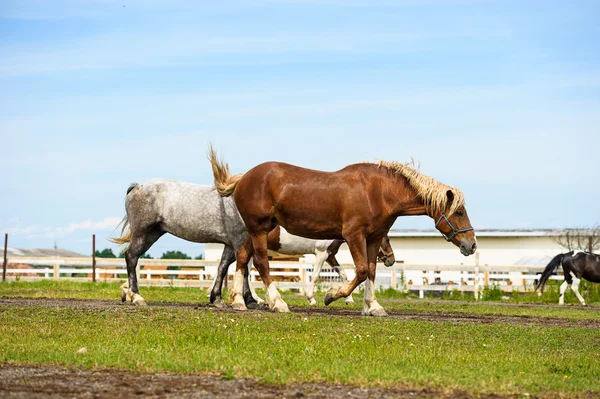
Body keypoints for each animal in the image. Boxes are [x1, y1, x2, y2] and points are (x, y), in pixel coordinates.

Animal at [209, 148, 476, 318]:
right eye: (459, 211)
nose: (471, 245)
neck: (378, 192)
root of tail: (244, 178)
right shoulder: (353, 236)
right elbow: (360, 271)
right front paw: (331, 295)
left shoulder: (372, 238)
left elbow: (370, 272)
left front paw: (372, 306)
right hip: (260, 229)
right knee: (261, 262)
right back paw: (278, 303)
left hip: (255, 230)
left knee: (243, 257)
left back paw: (238, 302)